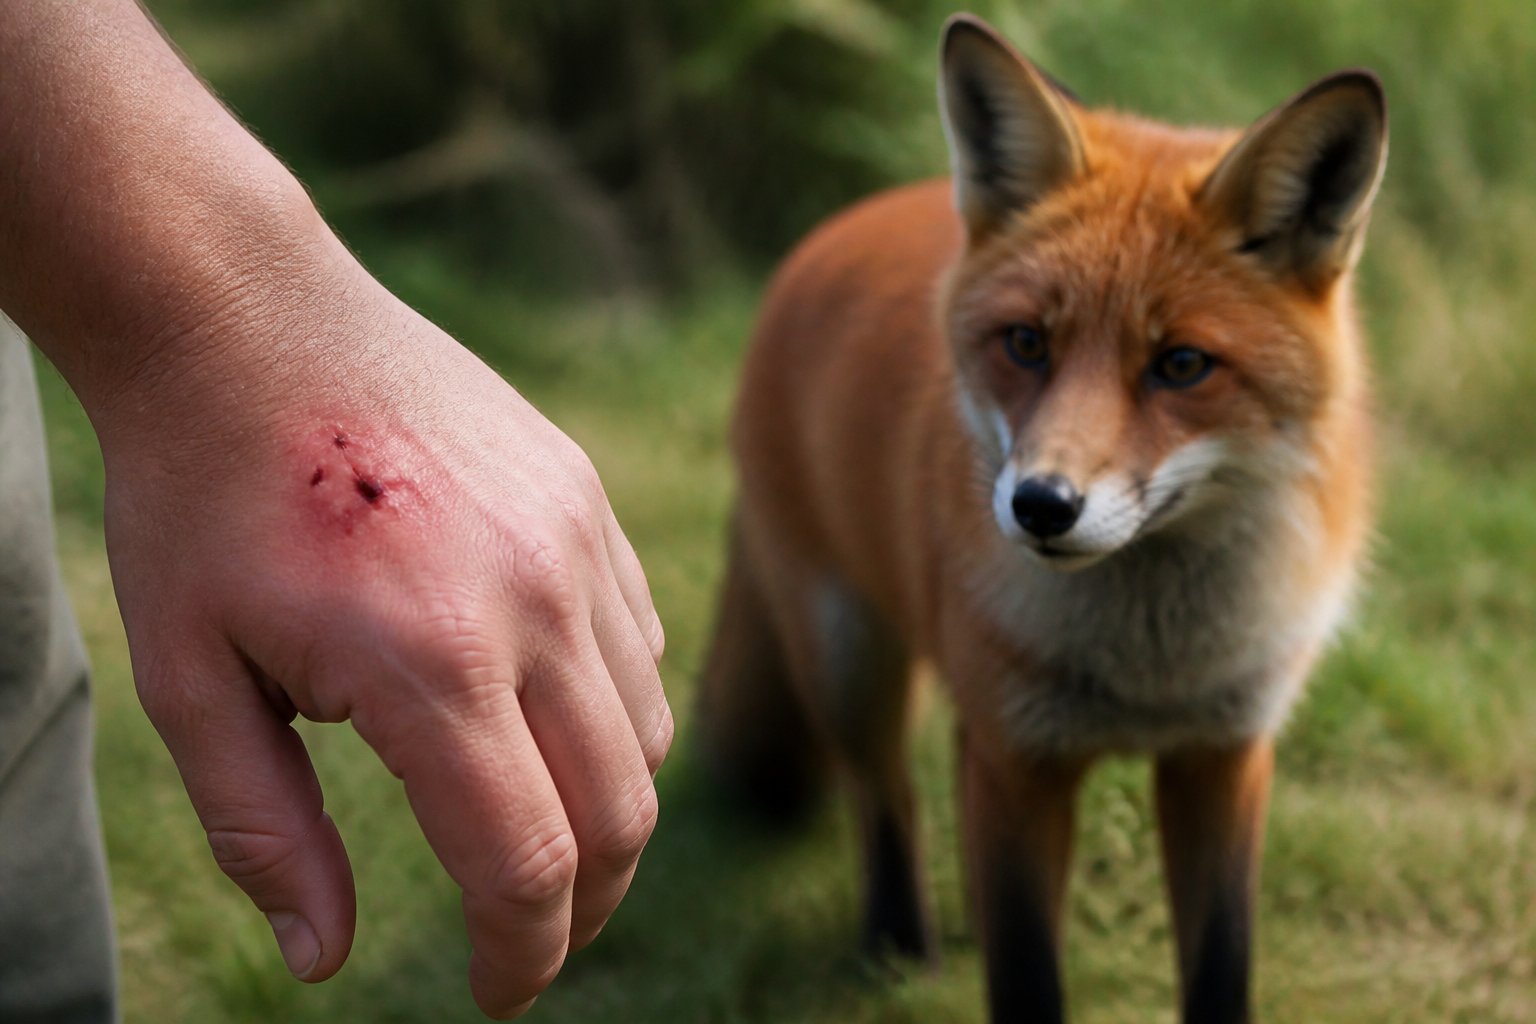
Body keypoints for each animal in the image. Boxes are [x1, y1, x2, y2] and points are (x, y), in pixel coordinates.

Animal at [697, 12, 1388, 1024]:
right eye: (1027, 344)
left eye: (1183, 365)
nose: (1041, 505)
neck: (1149, 672)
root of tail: (844, 222)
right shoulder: (1021, 757)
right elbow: (1026, 970)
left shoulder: (1223, 755)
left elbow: (1220, 963)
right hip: (846, 656)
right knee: (884, 797)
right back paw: (898, 947)